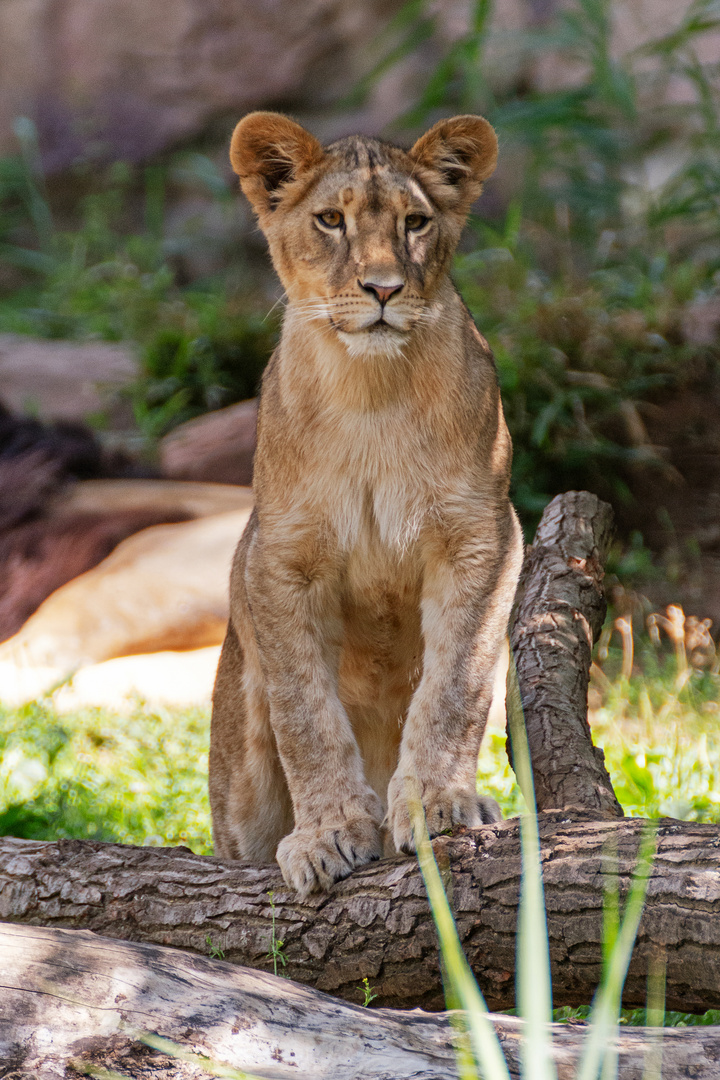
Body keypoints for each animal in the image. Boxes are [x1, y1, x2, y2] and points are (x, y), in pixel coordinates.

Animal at [209, 113, 524, 898]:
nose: (383, 289)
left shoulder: (483, 534)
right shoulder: (278, 556)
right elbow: (305, 713)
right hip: (239, 770)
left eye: (416, 223)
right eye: (331, 220)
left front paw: (438, 804)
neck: (372, 392)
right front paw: (326, 833)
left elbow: (456, 684)